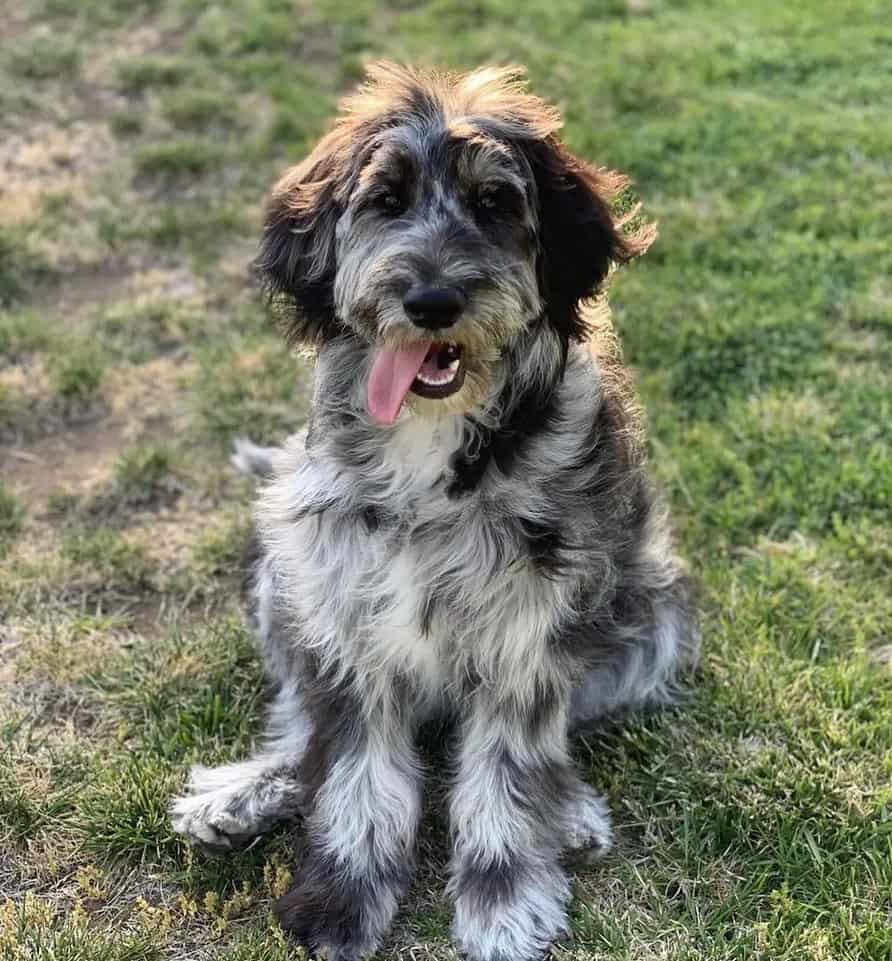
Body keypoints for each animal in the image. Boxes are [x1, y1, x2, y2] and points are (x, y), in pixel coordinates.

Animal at [169, 62, 696, 960]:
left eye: (495, 203)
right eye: (385, 199)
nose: (433, 299)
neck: (433, 434)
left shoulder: (528, 622)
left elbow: (509, 775)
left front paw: (504, 901)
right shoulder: (347, 607)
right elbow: (352, 771)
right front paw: (342, 899)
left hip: (648, 611)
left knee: (558, 744)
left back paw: (572, 812)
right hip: (283, 580)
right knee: (304, 729)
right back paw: (243, 796)